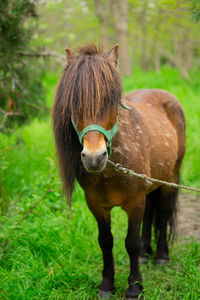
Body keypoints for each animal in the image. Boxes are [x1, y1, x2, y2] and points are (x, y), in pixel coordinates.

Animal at [52, 43, 185, 298]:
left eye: (111, 100)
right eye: (74, 103)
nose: (94, 157)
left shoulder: (134, 201)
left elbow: (131, 242)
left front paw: (134, 287)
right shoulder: (96, 205)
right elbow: (106, 241)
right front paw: (107, 285)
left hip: (170, 178)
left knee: (163, 212)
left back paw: (162, 256)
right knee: (150, 213)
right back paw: (145, 254)